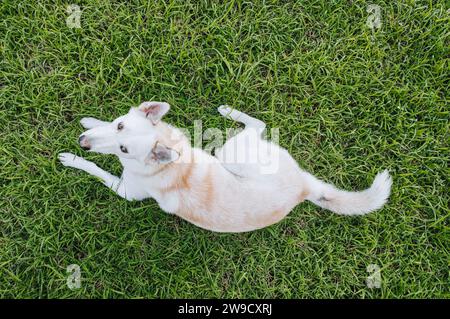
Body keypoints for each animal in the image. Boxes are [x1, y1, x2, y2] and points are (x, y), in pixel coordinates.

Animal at [58, 102, 392, 232]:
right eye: (119, 125)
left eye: (125, 149)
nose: (82, 142)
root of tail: (303, 188)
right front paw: (90, 122)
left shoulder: (125, 190)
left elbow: (97, 170)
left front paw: (74, 159)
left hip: (228, 150)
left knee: (258, 125)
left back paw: (230, 112)